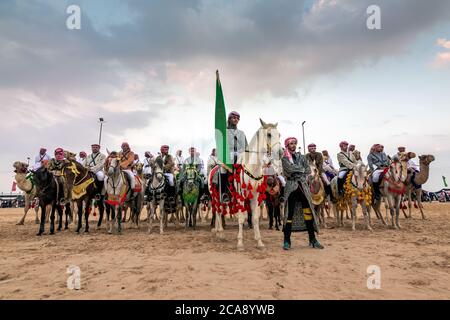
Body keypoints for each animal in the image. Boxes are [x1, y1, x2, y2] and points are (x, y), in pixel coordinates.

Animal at [208, 119, 282, 249]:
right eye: (269, 134)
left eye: (279, 135)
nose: (281, 152)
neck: (252, 168)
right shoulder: (241, 197)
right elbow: (242, 218)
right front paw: (240, 243)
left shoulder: (255, 197)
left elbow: (255, 218)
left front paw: (259, 242)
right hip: (215, 196)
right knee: (217, 212)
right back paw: (220, 232)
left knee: (219, 212)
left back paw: (218, 232)